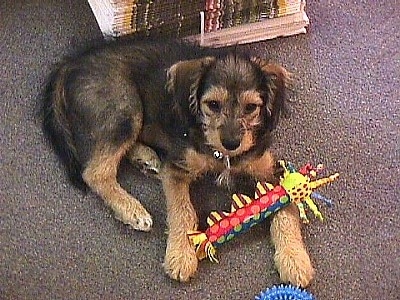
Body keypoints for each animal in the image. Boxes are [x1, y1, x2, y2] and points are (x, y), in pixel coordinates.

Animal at [42, 37, 314, 286]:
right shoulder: (177, 168)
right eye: (213, 104)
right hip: (125, 108)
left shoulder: (273, 173)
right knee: (95, 172)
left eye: (251, 107)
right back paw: (132, 210)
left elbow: (285, 213)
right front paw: (180, 255)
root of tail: (74, 62)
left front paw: (295, 261)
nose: (231, 143)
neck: (221, 156)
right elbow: (183, 212)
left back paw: (146, 160)